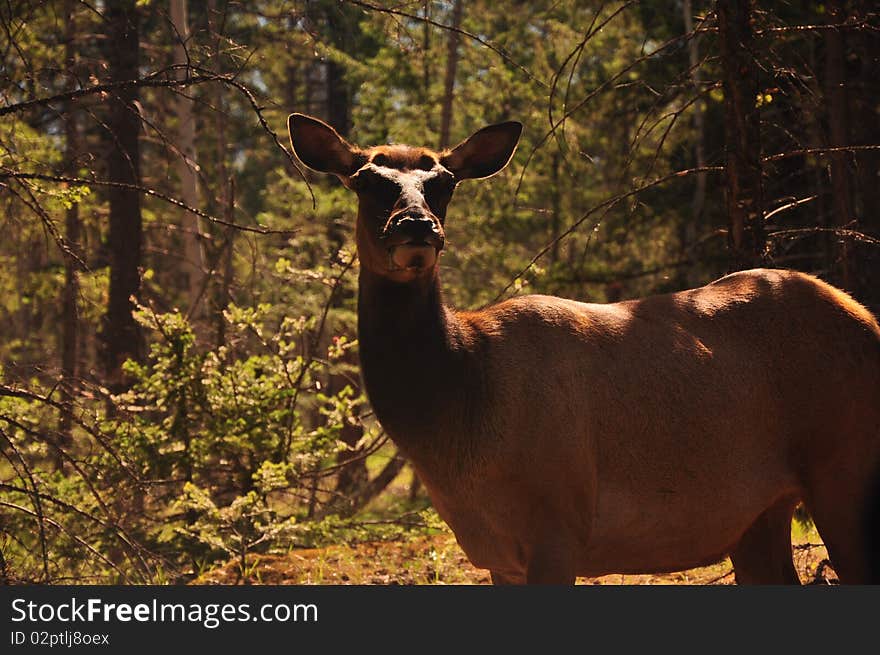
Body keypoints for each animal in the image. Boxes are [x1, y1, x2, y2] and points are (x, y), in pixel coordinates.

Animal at [288, 114, 880, 584]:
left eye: (445, 182)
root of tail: (867, 320)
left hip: (847, 468)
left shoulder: (559, 521)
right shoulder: (499, 556)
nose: (416, 225)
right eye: (364, 180)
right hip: (759, 515)